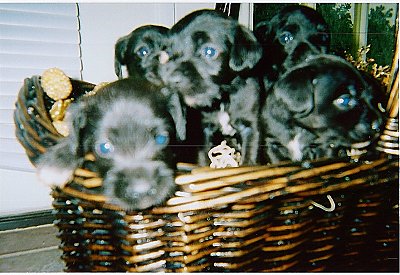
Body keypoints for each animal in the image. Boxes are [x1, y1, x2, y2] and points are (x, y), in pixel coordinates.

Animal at [158, 9, 264, 166]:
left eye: (209, 51)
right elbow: (203, 159)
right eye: (169, 54)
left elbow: (249, 158)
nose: (172, 79)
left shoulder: (250, 127)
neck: (223, 99)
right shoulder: (204, 131)